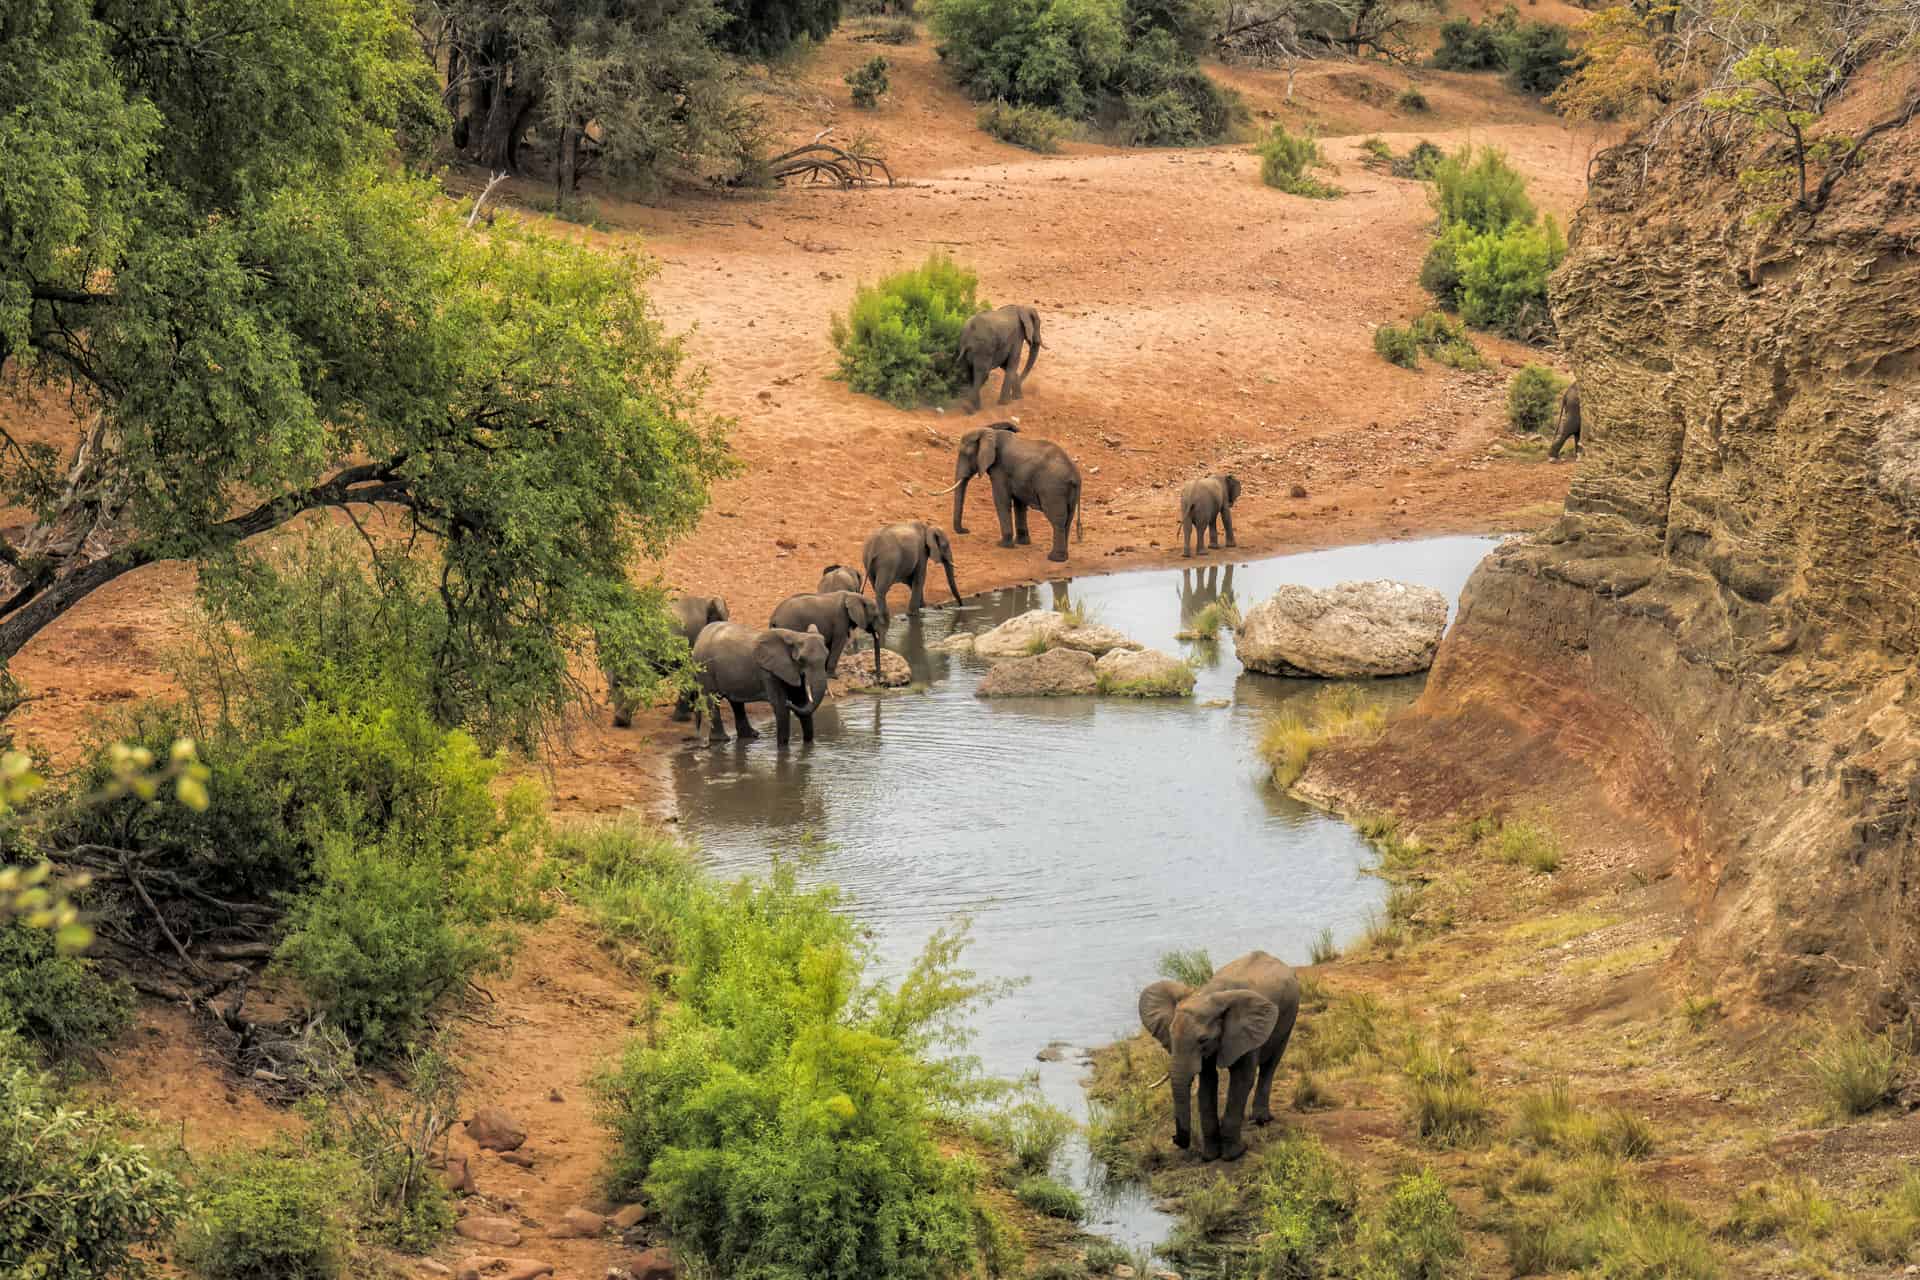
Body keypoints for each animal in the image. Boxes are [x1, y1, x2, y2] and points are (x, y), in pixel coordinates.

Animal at [695, 621, 837, 744]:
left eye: (826, 656)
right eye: (801, 660)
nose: (789, 703)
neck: (795, 636)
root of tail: (701, 634)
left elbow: (801, 701)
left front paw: (808, 746)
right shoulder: (768, 672)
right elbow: (780, 706)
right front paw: (782, 749)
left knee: (736, 703)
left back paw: (750, 736)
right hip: (705, 668)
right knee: (712, 700)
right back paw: (721, 740)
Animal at [933, 422, 1082, 564]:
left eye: (966, 454)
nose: (966, 530)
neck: (990, 432)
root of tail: (1075, 475)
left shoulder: (1000, 470)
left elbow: (1001, 500)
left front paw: (1003, 545)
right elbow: (1019, 504)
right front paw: (1022, 543)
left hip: (1053, 489)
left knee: (1057, 520)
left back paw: (1054, 559)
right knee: (1067, 520)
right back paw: (1063, 558)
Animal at [1136, 951, 1305, 1159]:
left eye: (1203, 1040)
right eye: (1170, 1035)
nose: (1174, 1138)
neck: (1208, 995)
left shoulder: (1245, 1032)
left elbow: (1242, 1079)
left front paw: (1234, 1154)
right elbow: (1207, 1082)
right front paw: (1210, 1156)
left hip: (1290, 1014)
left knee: (1271, 1064)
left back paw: (1261, 1120)